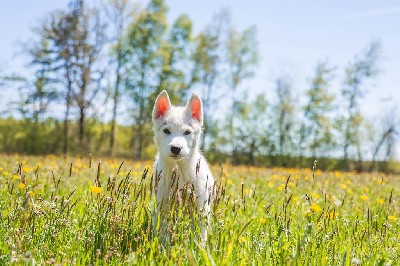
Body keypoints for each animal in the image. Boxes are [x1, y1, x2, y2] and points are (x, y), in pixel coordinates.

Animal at [152, 90, 216, 242]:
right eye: (166, 130)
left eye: (187, 132)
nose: (176, 148)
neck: (178, 169)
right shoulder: (162, 203)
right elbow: (162, 227)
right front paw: (161, 242)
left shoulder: (201, 205)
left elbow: (202, 232)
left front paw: (201, 246)